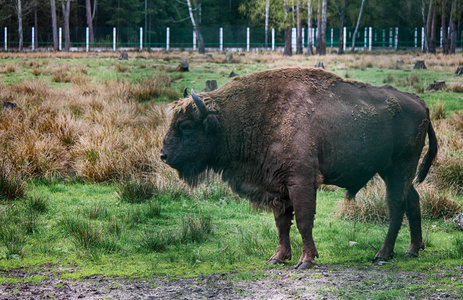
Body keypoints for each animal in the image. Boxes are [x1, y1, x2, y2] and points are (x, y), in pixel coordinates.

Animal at [162, 68, 438, 270]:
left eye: (186, 127)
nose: (164, 155)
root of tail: (421, 103)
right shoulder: (277, 186)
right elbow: (282, 223)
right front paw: (277, 257)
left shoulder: (301, 181)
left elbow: (304, 221)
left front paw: (306, 261)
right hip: (393, 172)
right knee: (412, 200)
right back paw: (412, 250)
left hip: (399, 169)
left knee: (396, 206)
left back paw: (382, 254)